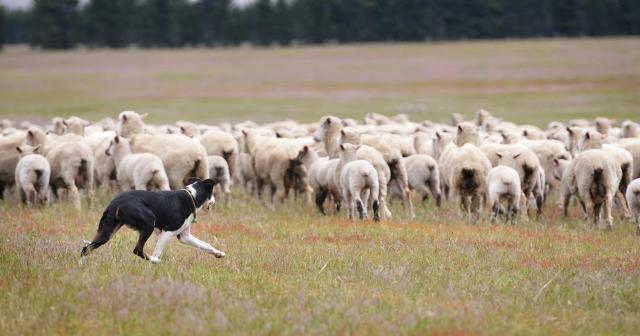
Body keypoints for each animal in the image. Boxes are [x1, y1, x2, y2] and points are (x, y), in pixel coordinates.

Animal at [80, 178, 225, 262]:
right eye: (212, 192)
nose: (214, 200)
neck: (192, 197)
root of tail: (115, 203)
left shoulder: (184, 236)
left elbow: (206, 245)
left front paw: (219, 253)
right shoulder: (167, 232)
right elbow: (157, 251)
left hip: (107, 232)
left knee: (86, 248)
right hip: (149, 223)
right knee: (138, 250)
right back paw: (154, 260)